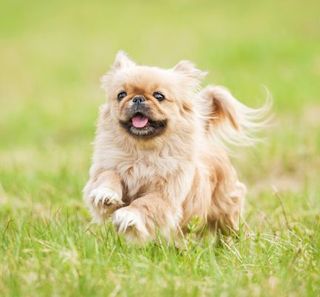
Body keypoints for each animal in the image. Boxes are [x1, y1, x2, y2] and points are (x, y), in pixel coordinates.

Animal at [82, 50, 270, 240]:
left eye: (159, 96)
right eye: (121, 95)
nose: (137, 98)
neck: (142, 153)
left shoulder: (165, 195)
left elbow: (144, 203)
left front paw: (128, 215)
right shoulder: (107, 167)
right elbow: (108, 176)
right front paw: (105, 194)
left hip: (226, 210)